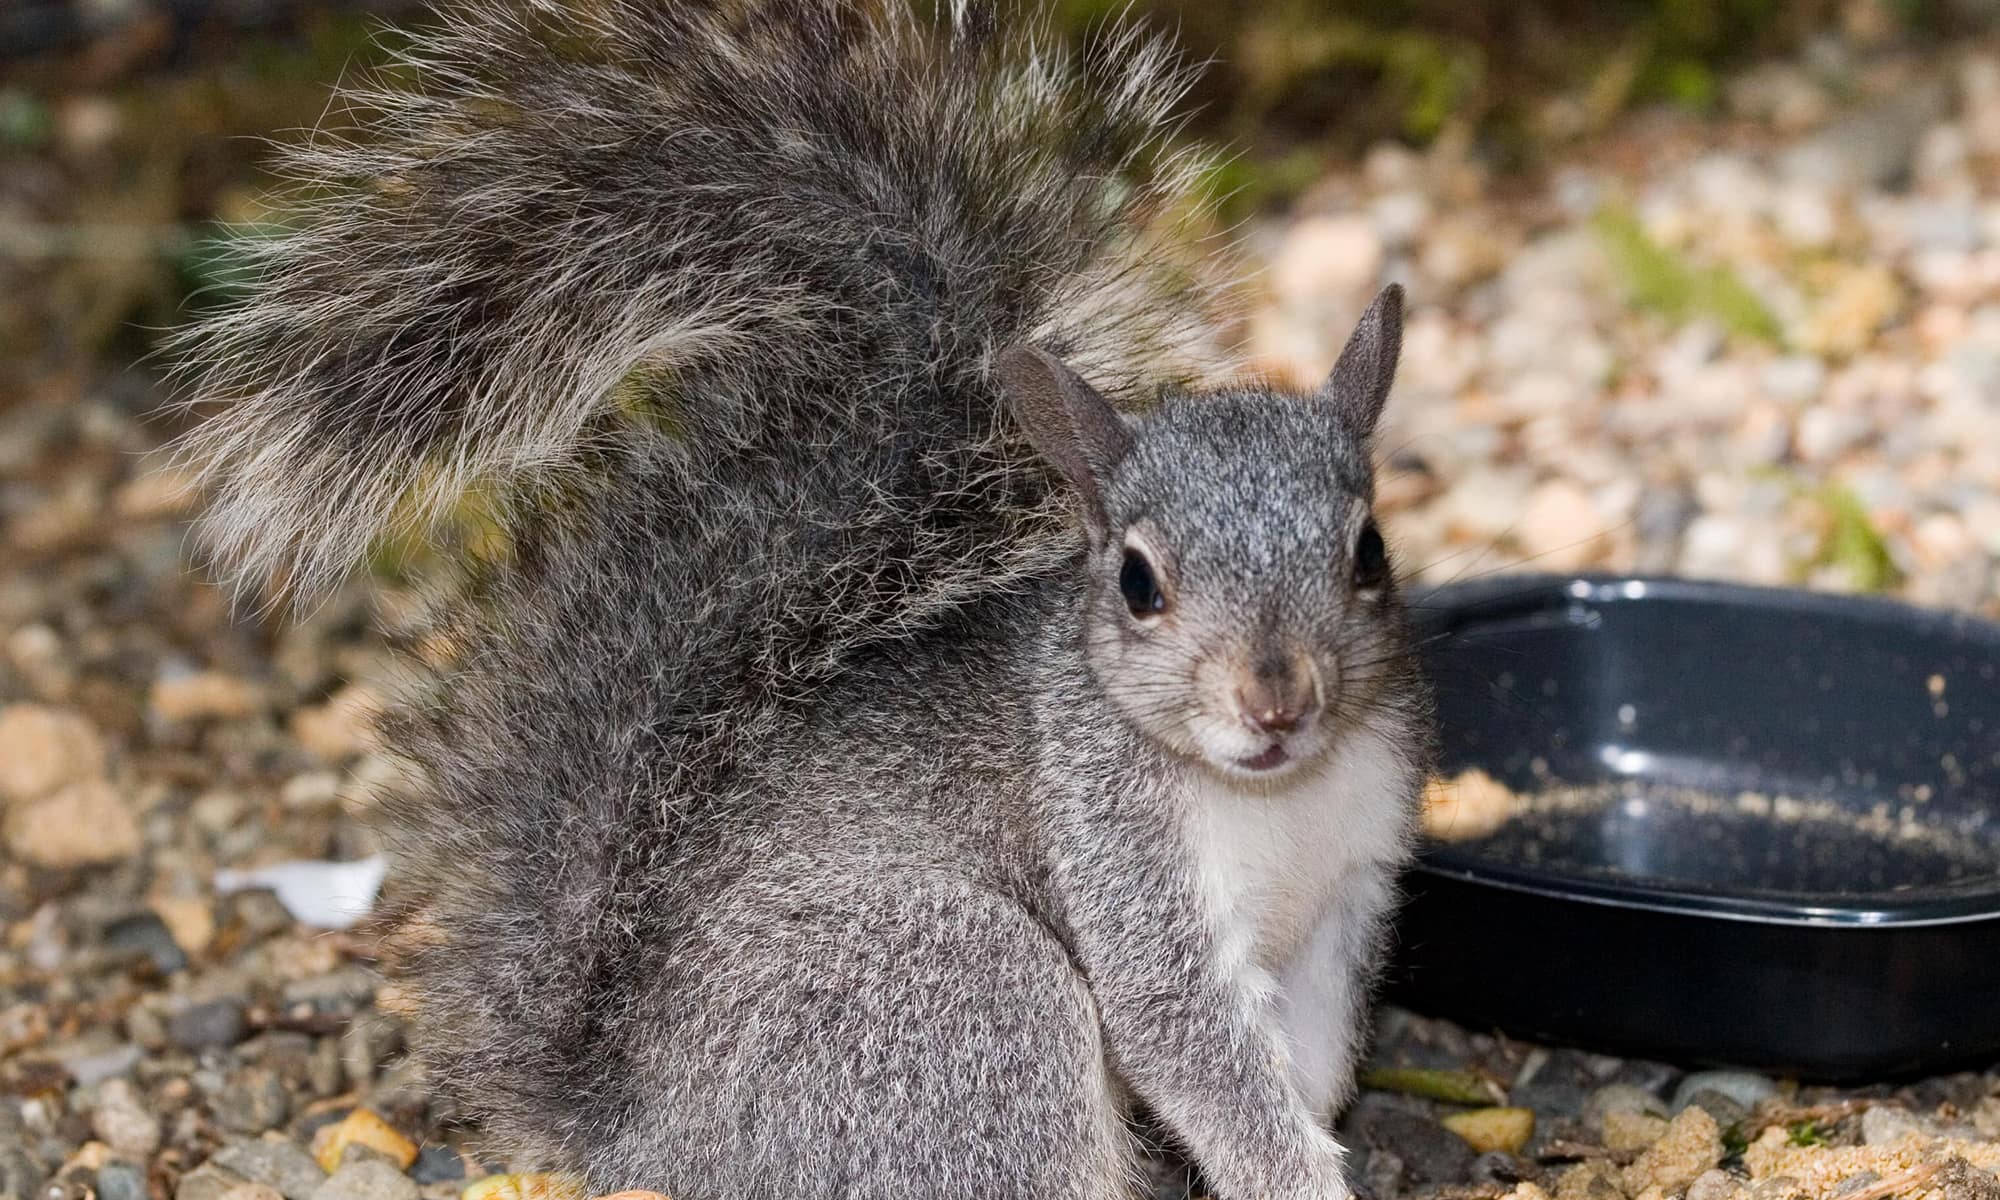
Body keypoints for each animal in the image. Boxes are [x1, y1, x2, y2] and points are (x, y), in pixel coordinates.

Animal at [176, 2, 1440, 1200]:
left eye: (1367, 553)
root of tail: (640, 1129)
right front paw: (1294, 1178)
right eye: (1136, 582)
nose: (1276, 700)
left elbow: (1309, 1064)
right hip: (953, 993)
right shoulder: (1121, 860)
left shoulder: (1344, 902)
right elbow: (1198, 1057)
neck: (1277, 798)